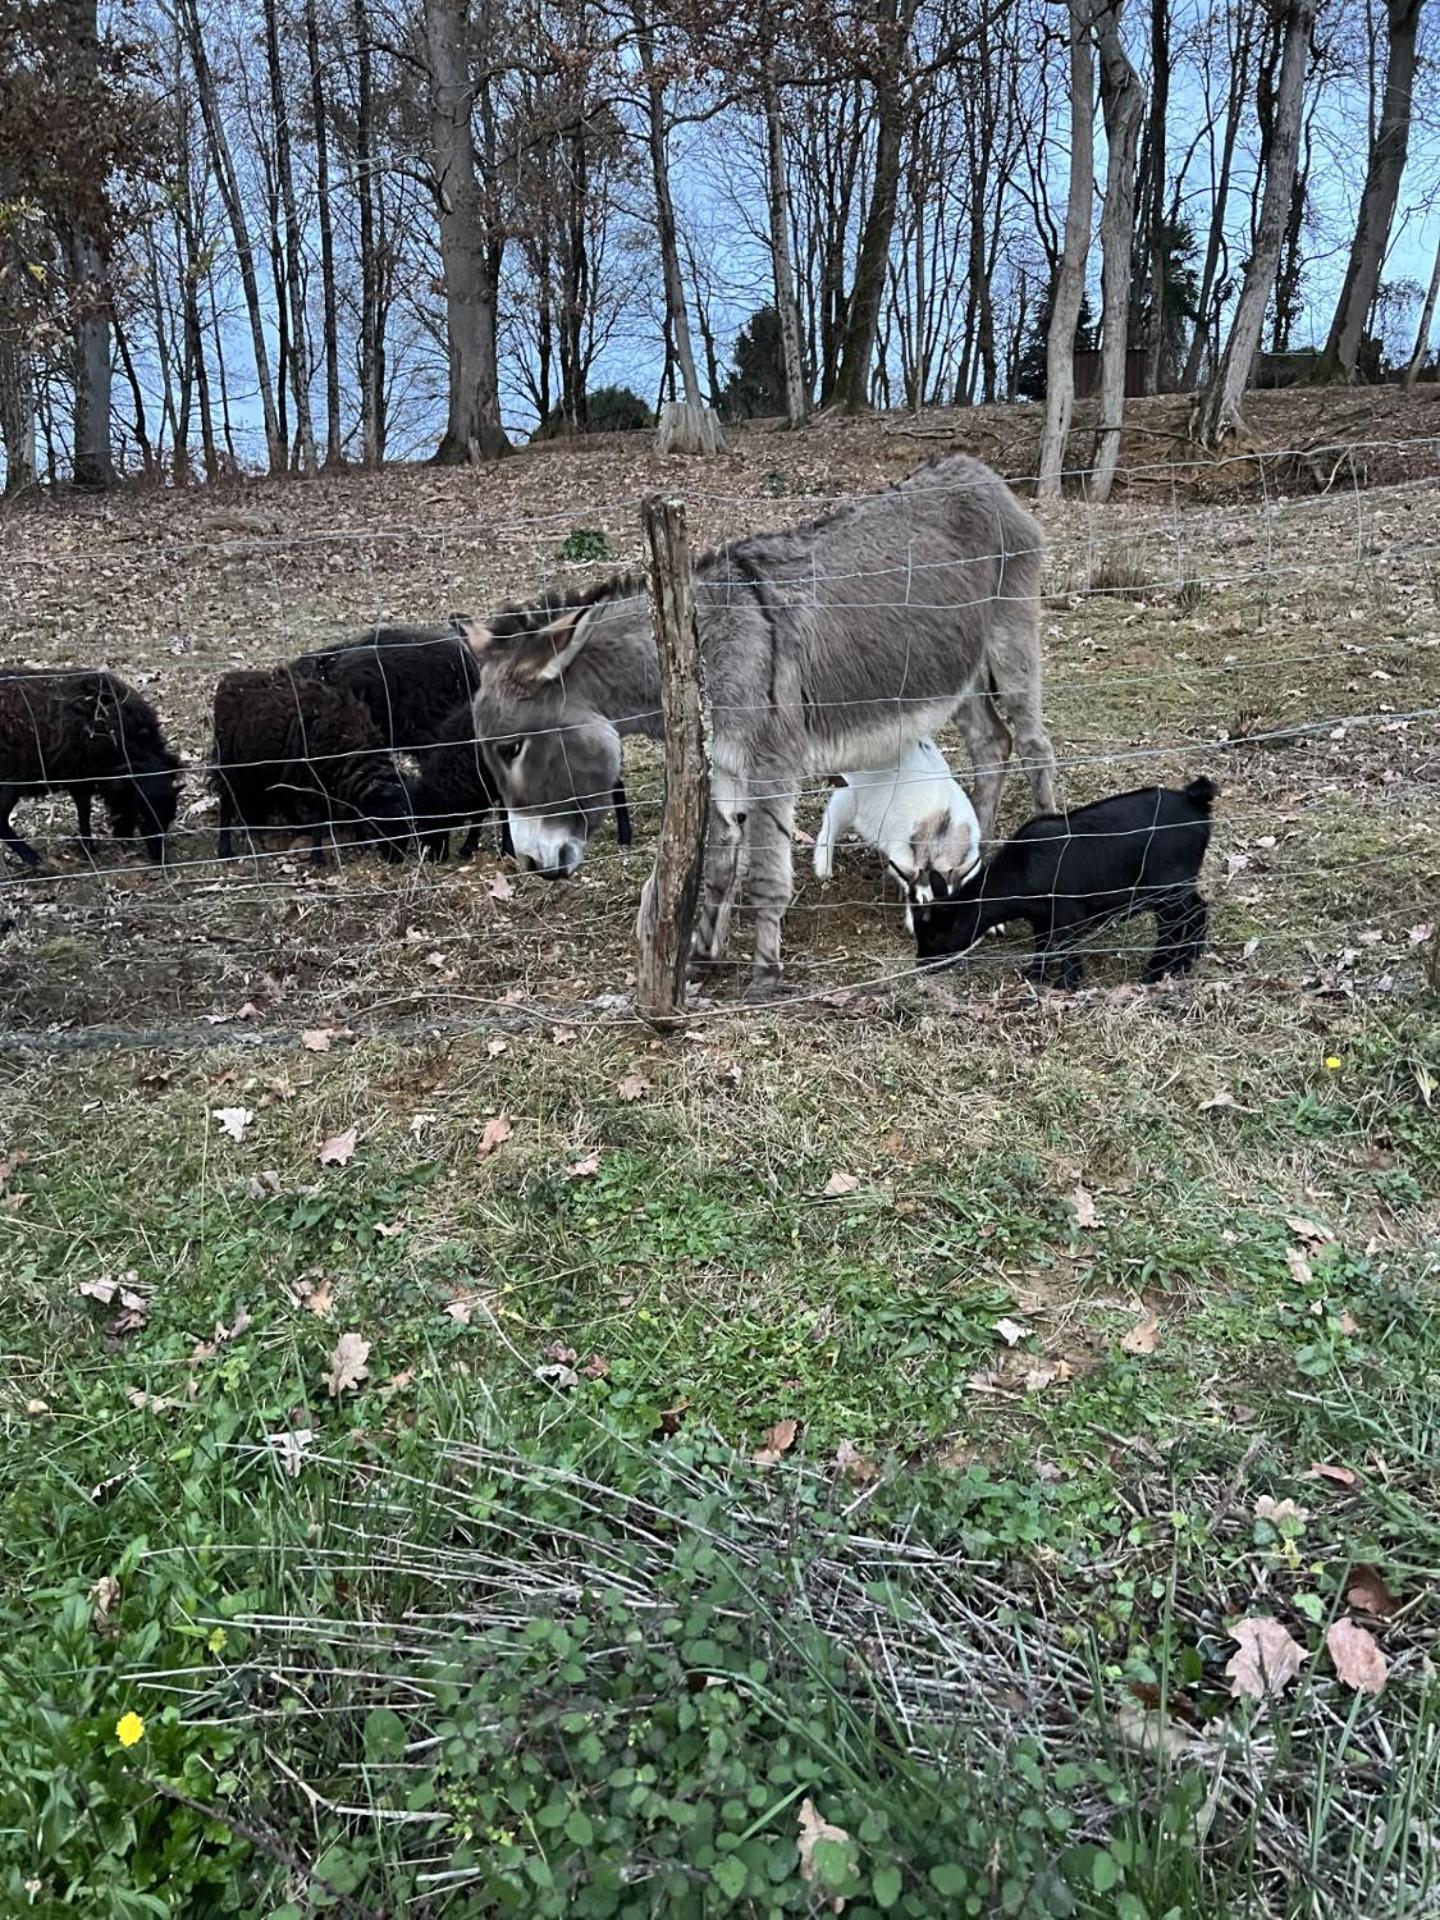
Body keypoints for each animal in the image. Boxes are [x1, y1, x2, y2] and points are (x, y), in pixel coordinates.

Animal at [913, 779, 1221, 990]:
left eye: (935, 935)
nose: (920, 965)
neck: (1024, 867)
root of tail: (1195, 799)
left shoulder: (1067, 912)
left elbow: (1067, 946)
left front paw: (1065, 984)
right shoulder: (1040, 917)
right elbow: (1042, 944)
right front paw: (1034, 973)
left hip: (1166, 889)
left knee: (1175, 924)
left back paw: (1155, 972)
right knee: (1198, 908)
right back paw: (1187, 960)